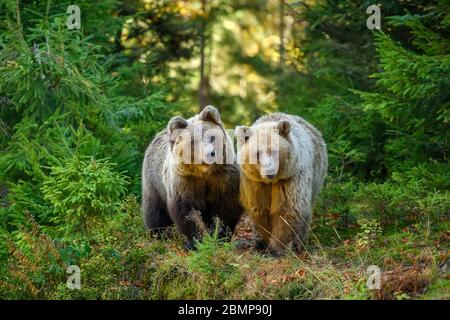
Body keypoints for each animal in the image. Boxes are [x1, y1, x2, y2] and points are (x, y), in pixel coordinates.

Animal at [143, 106, 243, 249]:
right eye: (193, 141)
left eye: (212, 137)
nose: (210, 153)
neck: (204, 173)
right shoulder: (185, 182)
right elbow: (187, 212)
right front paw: (195, 241)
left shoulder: (223, 178)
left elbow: (226, 207)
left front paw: (220, 236)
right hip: (154, 182)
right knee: (155, 211)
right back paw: (159, 235)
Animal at [236, 112, 326, 252]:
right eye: (257, 153)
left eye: (274, 151)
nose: (269, 171)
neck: (271, 182)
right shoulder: (254, 182)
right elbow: (259, 208)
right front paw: (262, 243)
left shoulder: (290, 178)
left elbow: (288, 208)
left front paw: (276, 247)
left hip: (316, 177)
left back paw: (299, 242)